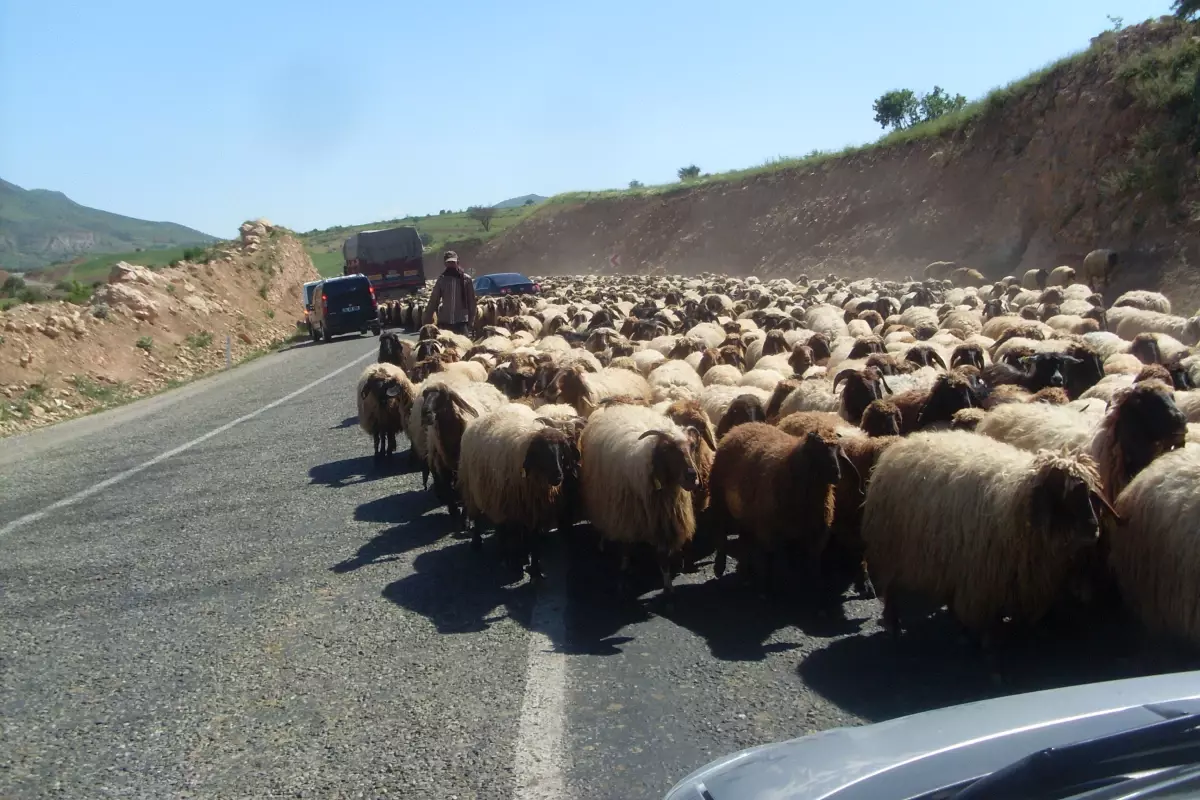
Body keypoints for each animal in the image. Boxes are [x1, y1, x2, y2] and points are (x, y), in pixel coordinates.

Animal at [453, 407, 576, 575]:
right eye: (542, 453)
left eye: (561, 453)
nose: (558, 476)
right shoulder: (511, 507)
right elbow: (514, 536)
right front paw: (515, 562)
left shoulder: (533, 508)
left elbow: (534, 539)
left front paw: (534, 567)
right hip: (474, 488)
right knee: (478, 517)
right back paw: (479, 543)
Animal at [578, 402, 700, 597]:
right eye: (667, 449)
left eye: (692, 446)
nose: (692, 477)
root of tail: (616, 407)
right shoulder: (625, 516)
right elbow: (626, 548)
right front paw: (624, 569)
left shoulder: (664, 519)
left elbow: (662, 557)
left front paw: (668, 586)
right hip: (602, 497)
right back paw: (603, 542)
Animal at [859, 429, 1108, 642]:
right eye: (1063, 493)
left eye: (1088, 493)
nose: (1094, 530)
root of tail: (903, 443)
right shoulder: (984, 579)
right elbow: (987, 623)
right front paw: (988, 644)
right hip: (893, 549)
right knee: (891, 589)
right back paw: (894, 624)